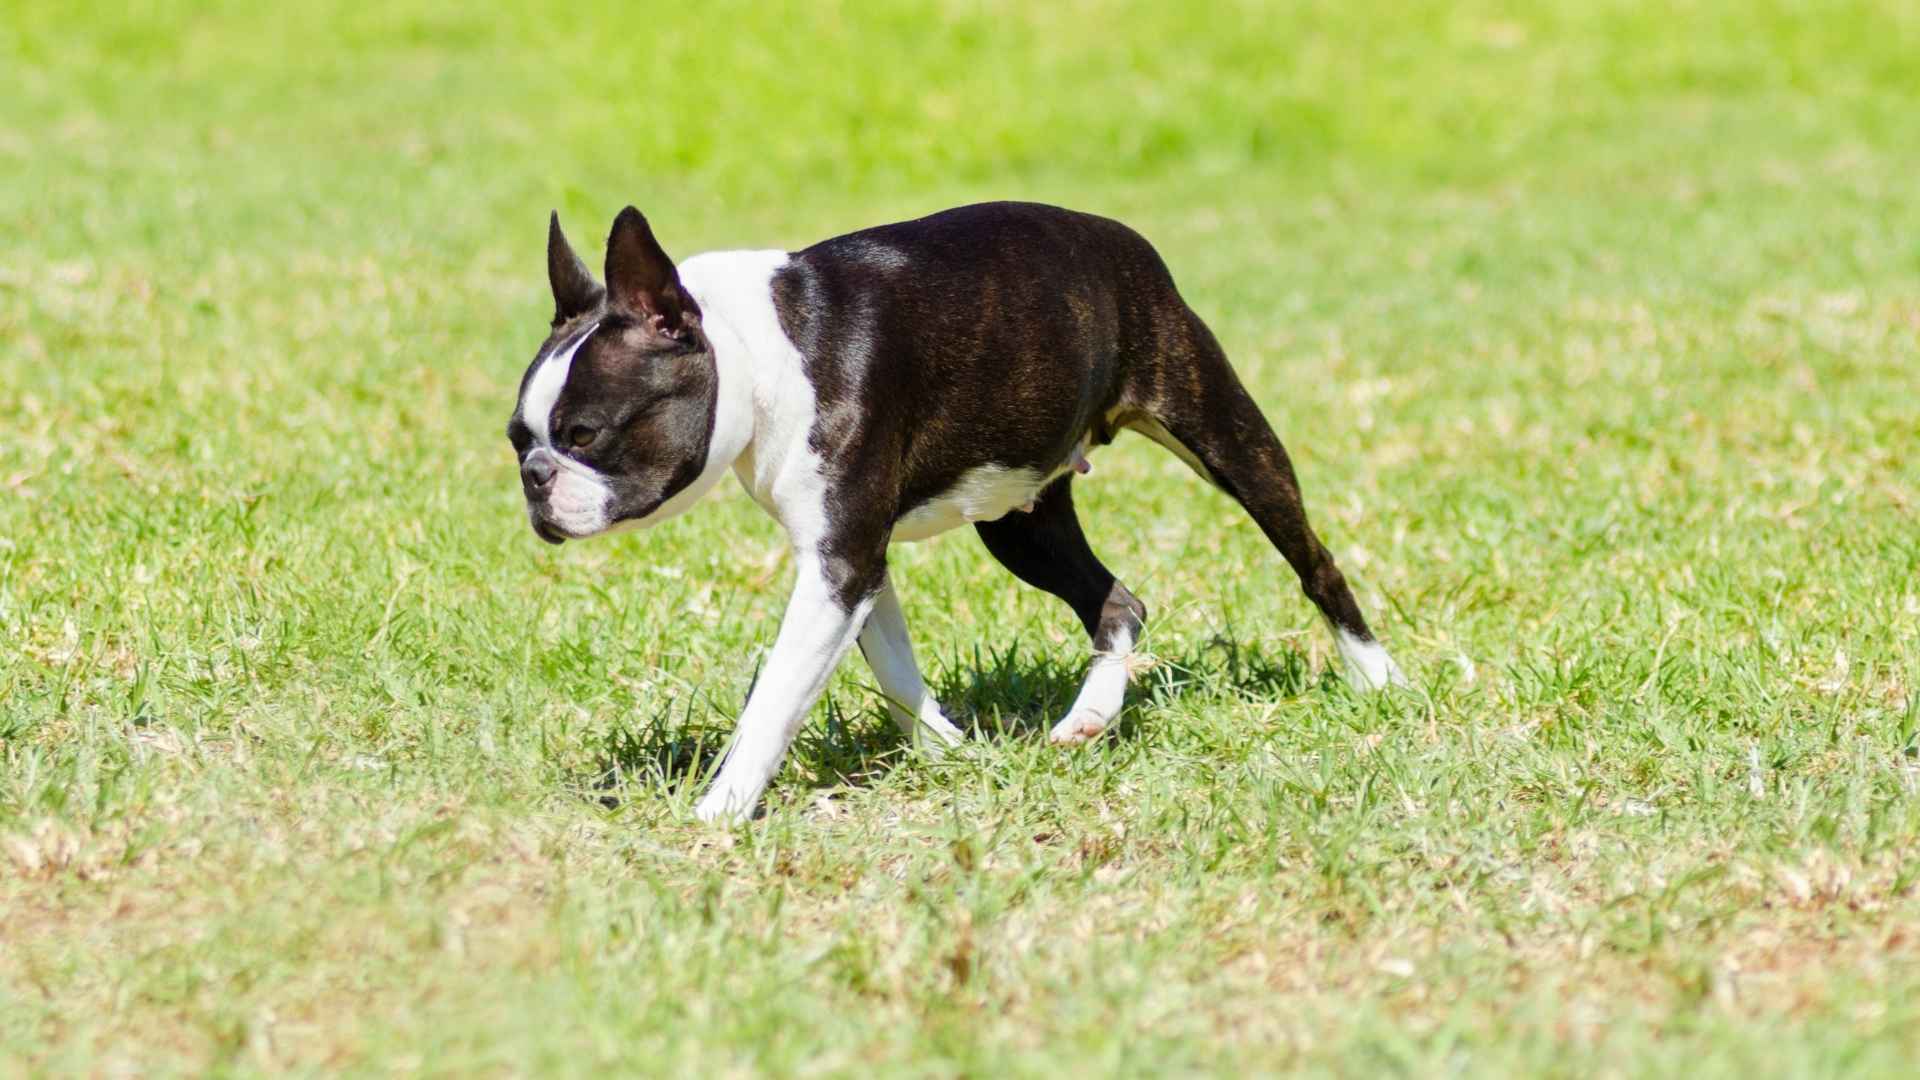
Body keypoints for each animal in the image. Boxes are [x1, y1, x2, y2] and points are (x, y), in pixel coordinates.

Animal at [510, 201, 1405, 814]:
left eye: (585, 433)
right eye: (519, 438)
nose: (536, 477)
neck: (752, 351)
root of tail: (1124, 241)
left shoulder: (839, 563)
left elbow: (775, 697)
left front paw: (719, 812)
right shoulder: (853, 562)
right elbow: (894, 671)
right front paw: (949, 751)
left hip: (1220, 432)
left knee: (1313, 561)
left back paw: (1378, 677)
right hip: (1020, 518)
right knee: (1117, 601)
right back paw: (1091, 715)